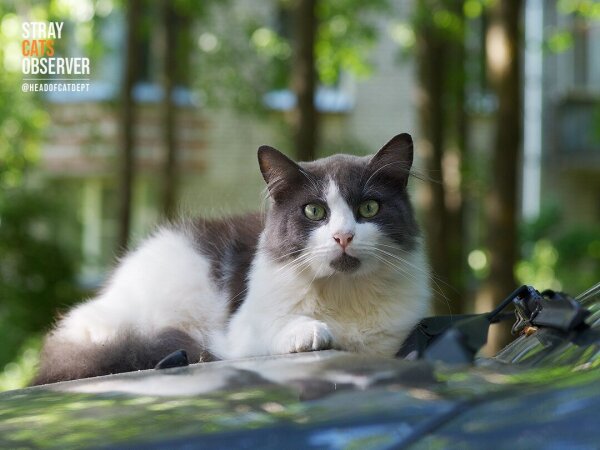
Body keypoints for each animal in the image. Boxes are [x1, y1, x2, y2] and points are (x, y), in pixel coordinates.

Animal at [34, 133, 432, 384]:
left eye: (369, 208)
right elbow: (278, 328)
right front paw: (311, 332)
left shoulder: (390, 338)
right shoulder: (240, 332)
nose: (344, 236)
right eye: (315, 212)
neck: (344, 294)